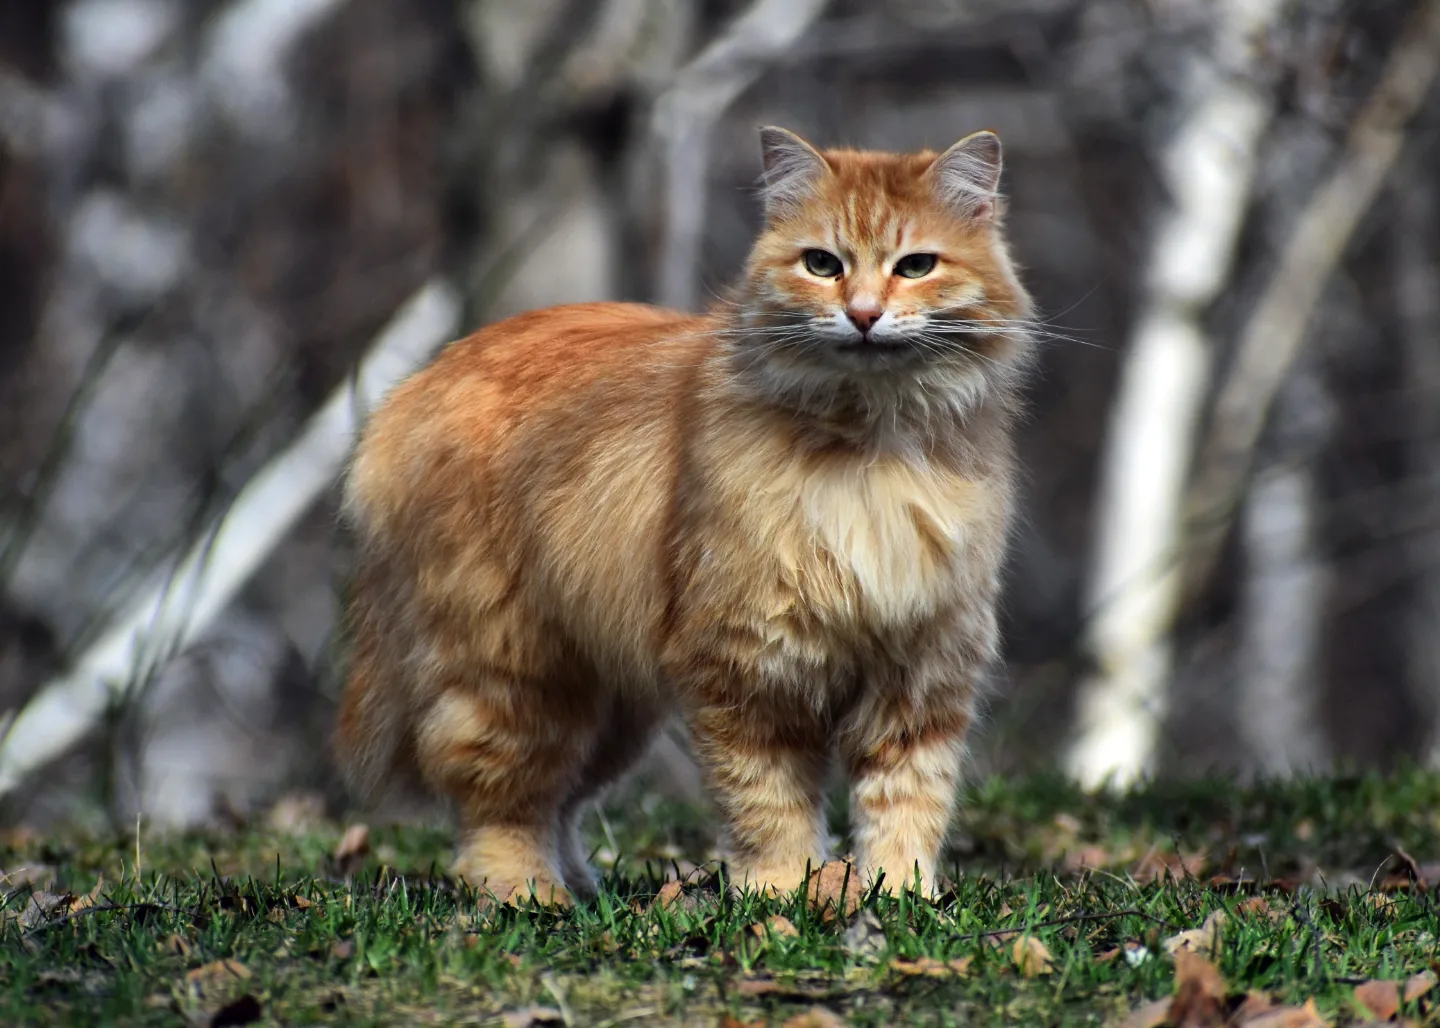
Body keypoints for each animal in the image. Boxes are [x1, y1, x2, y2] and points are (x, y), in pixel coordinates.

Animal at [334, 123, 1036, 898]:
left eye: (915, 266)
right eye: (822, 264)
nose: (862, 315)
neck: (868, 451)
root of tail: (416, 386)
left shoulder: (923, 671)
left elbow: (907, 806)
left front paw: (903, 896)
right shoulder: (748, 665)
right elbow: (770, 805)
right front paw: (784, 894)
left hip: (610, 707)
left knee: (559, 802)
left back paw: (587, 894)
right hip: (515, 677)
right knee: (499, 809)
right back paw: (528, 898)